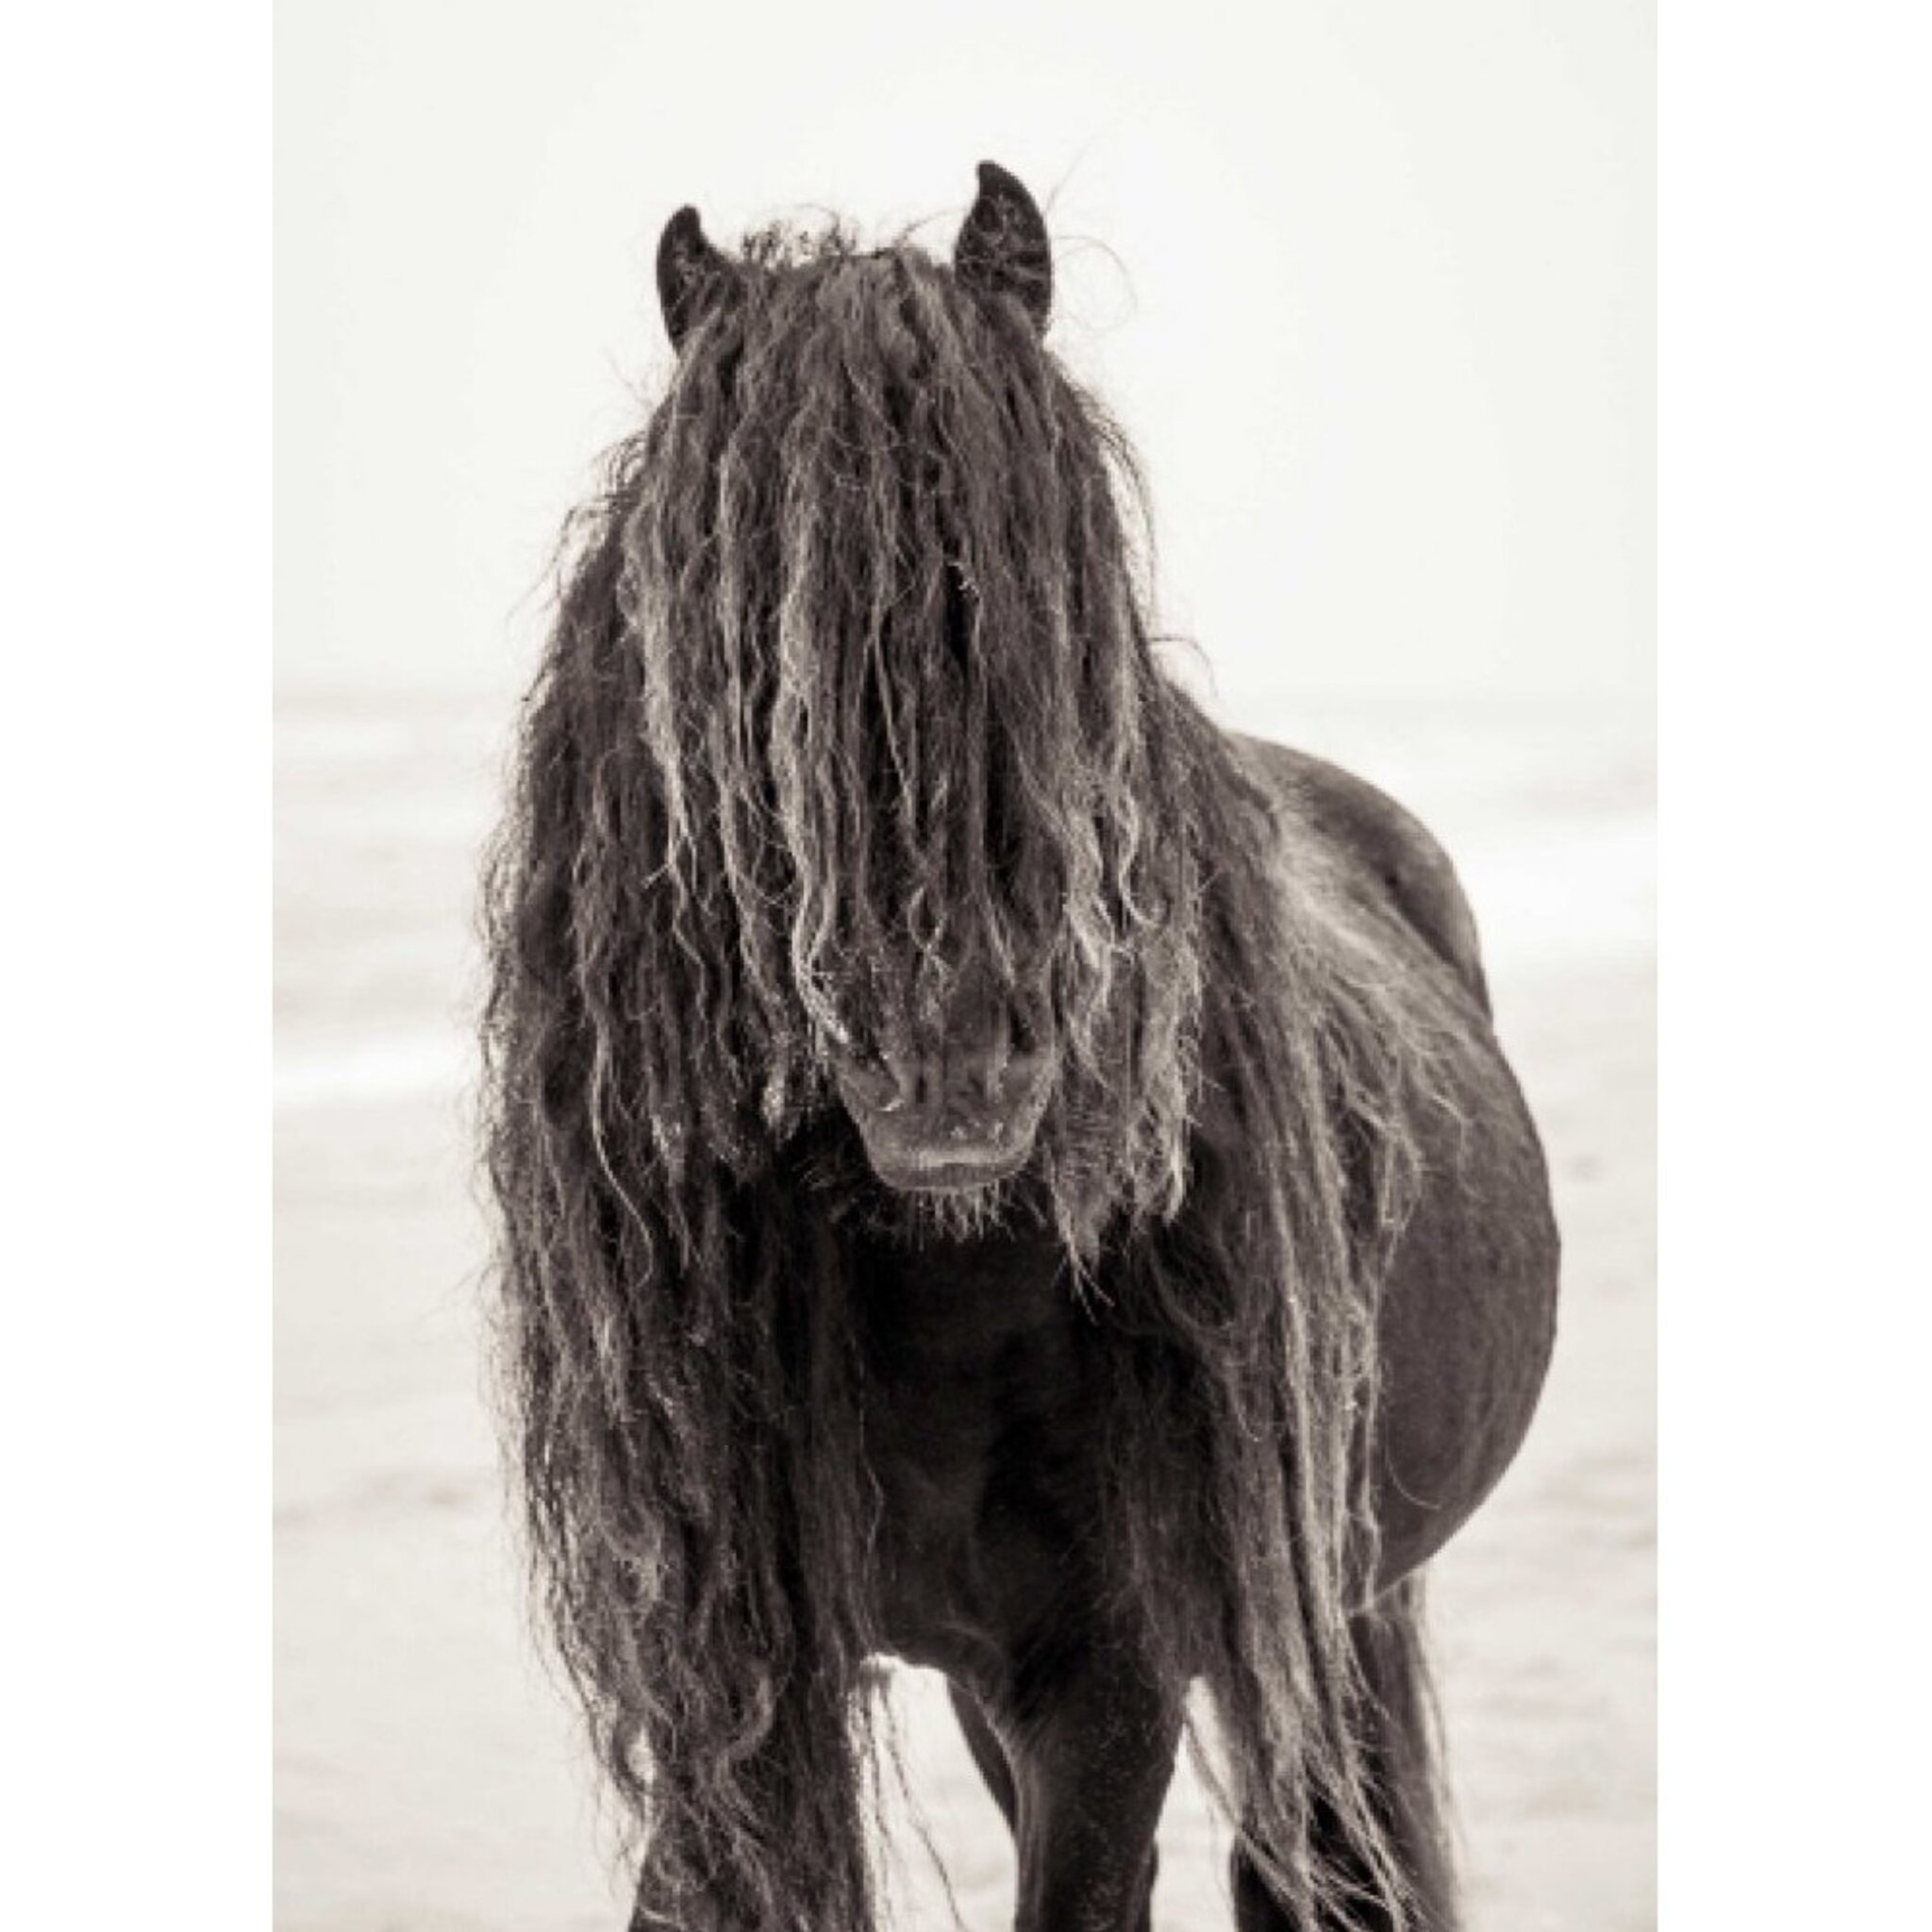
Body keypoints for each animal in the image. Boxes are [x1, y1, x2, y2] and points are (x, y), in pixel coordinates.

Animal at [480, 161, 1559, 1932]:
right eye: (733, 638)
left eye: (1066, 586)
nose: (953, 1064)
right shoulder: (748, 1700)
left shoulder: (1108, 1688)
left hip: (1331, 1609)